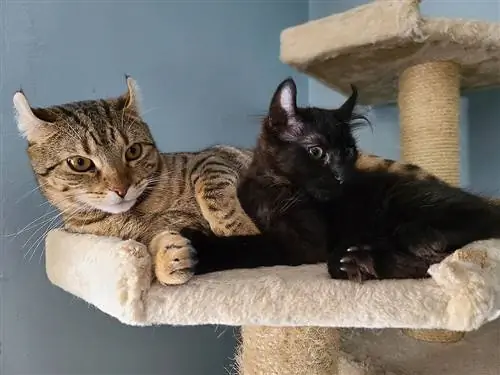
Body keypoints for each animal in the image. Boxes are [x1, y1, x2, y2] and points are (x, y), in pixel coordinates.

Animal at [12, 78, 438, 284]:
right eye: (80, 163)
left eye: (133, 152)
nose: (121, 187)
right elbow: (149, 243)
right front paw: (169, 257)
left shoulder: (214, 160)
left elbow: (215, 194)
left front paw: (233, 227)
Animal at [182, 77, 500, 282]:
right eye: (316, 151)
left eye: (348, 151)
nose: (341, 176)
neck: (277, 186)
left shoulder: (303, 242)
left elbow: (248, 245)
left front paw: (199, 249)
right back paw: (364, 262)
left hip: (405, 198)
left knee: (476, 222)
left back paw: (414, 239)